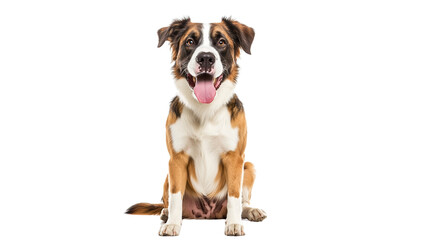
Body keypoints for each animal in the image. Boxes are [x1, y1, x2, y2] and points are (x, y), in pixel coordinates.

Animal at [126, 17, 266, 236]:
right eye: (190, 42)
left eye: (222, 42)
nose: (206, 58)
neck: (205, 110)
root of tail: (208, 212)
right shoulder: (176, 159)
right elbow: (176, 196)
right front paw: (173, 224)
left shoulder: (235, 158)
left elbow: (234, 196)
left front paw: (234, 223)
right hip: (167, 176)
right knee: (170, 201)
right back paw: (166, 214)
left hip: (248, 166)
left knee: (242, 202)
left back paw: (251, 211)